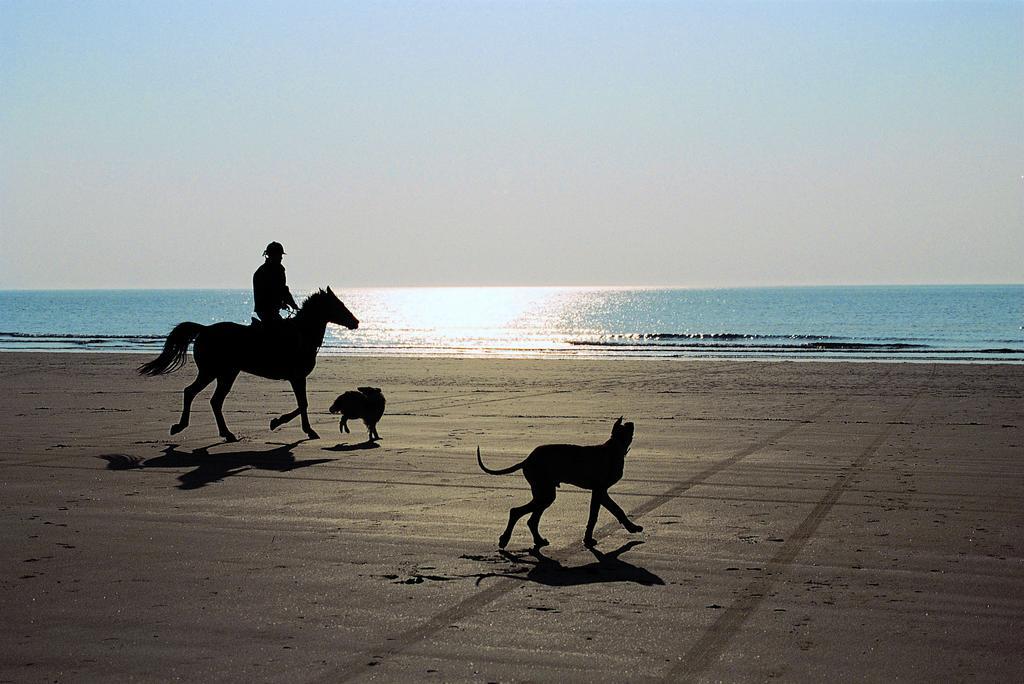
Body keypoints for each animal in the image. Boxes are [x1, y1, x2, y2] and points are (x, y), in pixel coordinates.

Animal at [138, 286, 358, 440]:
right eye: (338, 305)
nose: (355, 322)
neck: (303, 334)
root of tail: (205, 329)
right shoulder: (296, 377)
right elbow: (303, 404)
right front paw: (283, 423)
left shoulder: (297, 378)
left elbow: (302, 404)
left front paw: (296, 426)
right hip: (211, 372)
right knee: (191, 392)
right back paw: (181, 427)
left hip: (226, 374)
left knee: (214, 401)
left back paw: (226, 433)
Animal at [477, 417, 638, 548]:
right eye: (625, 427)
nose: (631, 423)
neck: (614, 448)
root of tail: (526, 460)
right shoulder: (599, 490)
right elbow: (598, 515)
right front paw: (589, 539)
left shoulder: (600, 492)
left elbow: (615, 510)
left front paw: (631, 527)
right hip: (544, 493)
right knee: (516, 512)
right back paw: (505, 539)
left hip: (544, 494)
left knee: (531, 520)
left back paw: (539, 540)